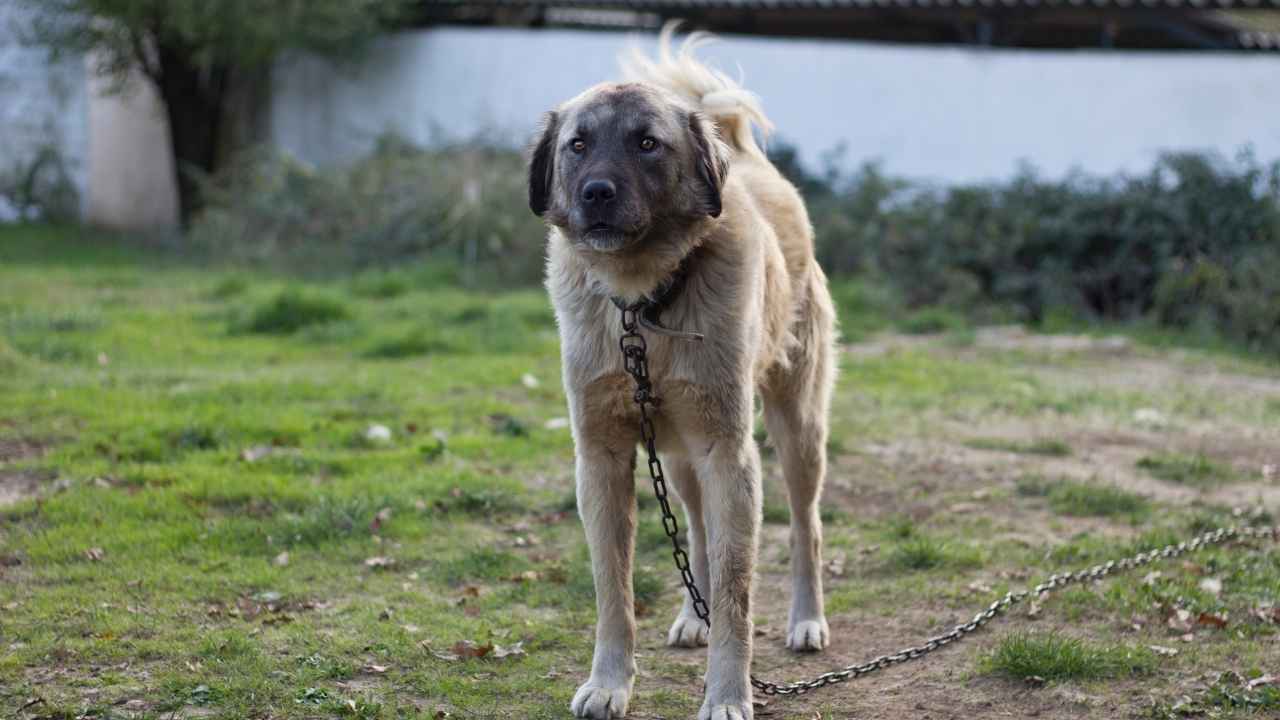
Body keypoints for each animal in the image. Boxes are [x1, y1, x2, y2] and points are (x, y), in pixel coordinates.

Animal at [524, 23, 834, 717]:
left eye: (647, 143)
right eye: (578, 144)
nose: (596, 194)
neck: (642, 303)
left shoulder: (729, 452)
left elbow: (738, 590)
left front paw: (728, 694)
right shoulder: (603, 455)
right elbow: (613, 590)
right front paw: (610, 683)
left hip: (795, 428)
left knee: (805, 527)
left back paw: (806, 620)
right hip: (678, 448)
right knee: (694, 527)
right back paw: (696, 615)